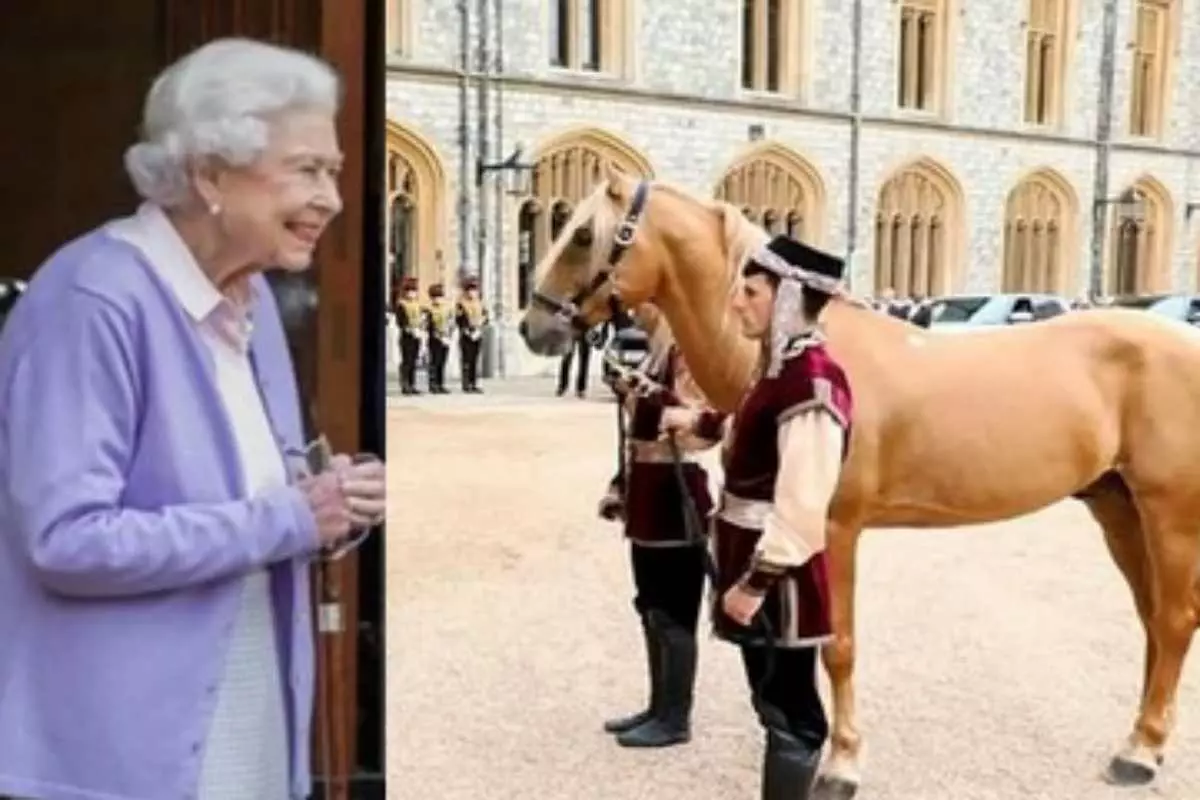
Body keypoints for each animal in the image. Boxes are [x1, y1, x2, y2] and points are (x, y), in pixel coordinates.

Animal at [518, 165, 1200, 796]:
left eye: (582, 234)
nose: (532, 327)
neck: (803, 345)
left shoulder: (833, 529)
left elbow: (837, 646)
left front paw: (841, 763)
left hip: (1169, 512)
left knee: (1173, 619)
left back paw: (1139, 753)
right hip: (1116, 506)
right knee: (1151, 618)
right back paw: (1149, 738)